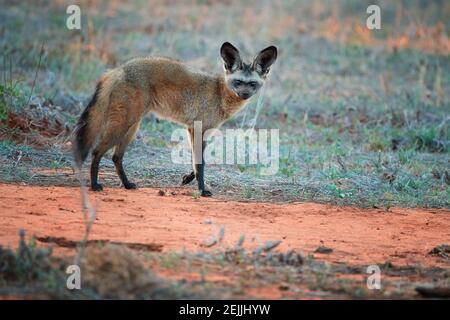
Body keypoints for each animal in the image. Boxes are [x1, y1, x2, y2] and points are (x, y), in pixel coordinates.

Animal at [73, 41, 276, 196]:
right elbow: (200, 163)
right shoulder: (199, 129)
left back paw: (127, 184)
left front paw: (188, 179)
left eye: (252, 84)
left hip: (131, 127)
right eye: (238, 82)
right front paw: (202, 190)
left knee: (116, 157)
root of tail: (118, 69)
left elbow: (195, 162)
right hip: (123, 125)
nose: (244, 94)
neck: (219, 94)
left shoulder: (194, 129)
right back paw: (94, 185)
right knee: (96, 151)